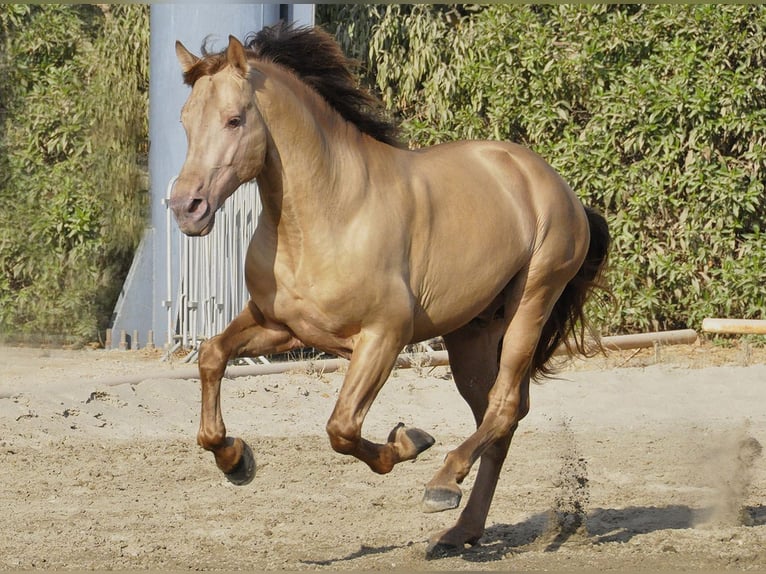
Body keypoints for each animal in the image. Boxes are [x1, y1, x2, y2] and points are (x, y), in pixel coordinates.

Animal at [170, 22, 610, 557]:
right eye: (185, 121)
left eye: (234, 120)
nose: (186, 208)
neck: (328, 214)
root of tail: (559, 188)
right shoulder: (281, 327)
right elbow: (213, 355)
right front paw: (235, 459)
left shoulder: (384, 336)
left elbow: (341, 427)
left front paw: (409, 442)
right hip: (471, 334)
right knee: (499, 414)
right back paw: (459, 533)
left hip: (533, 302)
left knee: (504, 406)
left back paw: (442, 486)